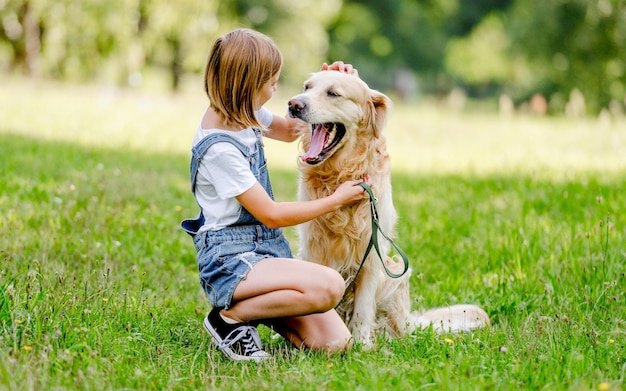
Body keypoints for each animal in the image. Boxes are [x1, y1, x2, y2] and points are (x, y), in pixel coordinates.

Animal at [286, 71, 488, 346]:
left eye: (333, 93)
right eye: (307, 87)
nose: (294, 104)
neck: (341, 174)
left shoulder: (372, 253)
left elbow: (363, 309)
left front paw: (362, 345)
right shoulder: (312, 249)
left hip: (396, 274)